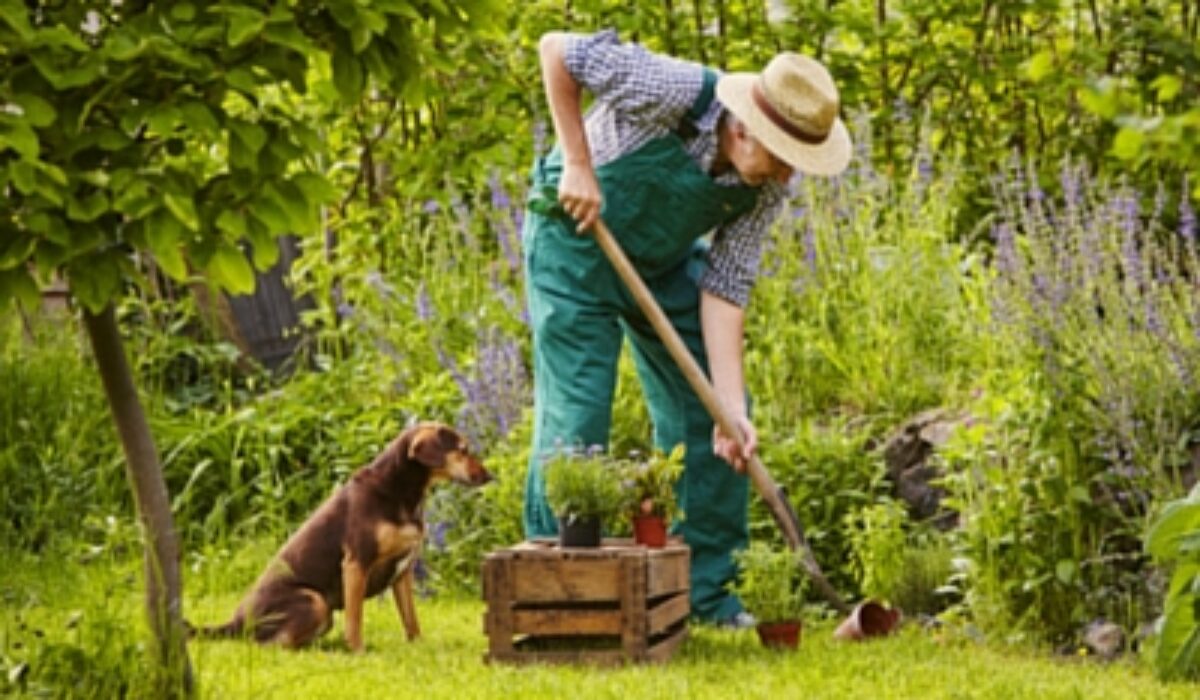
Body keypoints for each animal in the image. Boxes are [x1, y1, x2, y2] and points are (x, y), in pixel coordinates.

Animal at [189, 422, 489, 653]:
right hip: (315, 601)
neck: (400, 492)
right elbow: (355, 619)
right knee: (270, 645)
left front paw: (419, 646)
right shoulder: (356, 563)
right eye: (463, 450)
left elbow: (411, 619)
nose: (490, 475)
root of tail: (236, 622)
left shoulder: (402, 573)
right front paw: (358, 651)